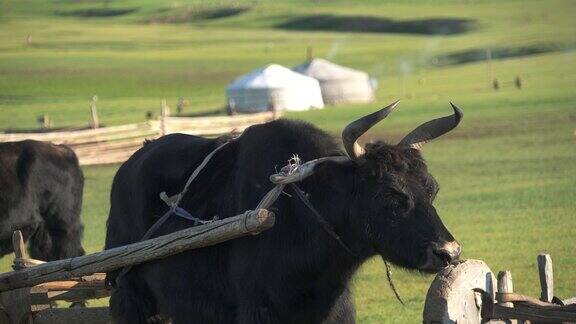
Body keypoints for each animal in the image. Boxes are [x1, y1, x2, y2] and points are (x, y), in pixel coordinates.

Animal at [103, 102, 464, 324]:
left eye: (431, 189)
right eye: (391, 194)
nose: (448, 252)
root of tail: (128, 166)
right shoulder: (258, 310)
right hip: (132, 299)